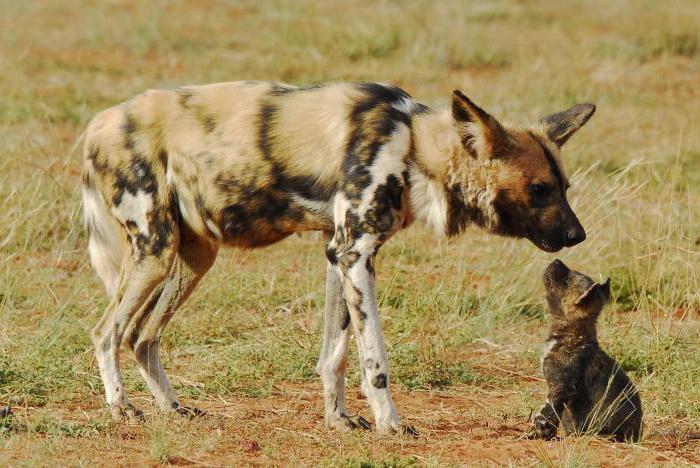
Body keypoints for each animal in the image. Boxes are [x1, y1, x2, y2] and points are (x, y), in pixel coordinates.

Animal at [82, 80, 596, 436]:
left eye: (564, 186)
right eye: (538, 189)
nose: (578, 235)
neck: (413, 148)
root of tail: (97, 124)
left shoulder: (338, 254)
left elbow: (335, 356)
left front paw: (339, 419)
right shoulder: (355, 253)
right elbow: (375, 363)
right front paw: (391, 425)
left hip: (194, 255)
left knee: (142, 337)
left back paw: (171, 408)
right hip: (155, 251)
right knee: (106, 332)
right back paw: (121, 407)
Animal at [532, 260, 640, 442]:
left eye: (566, 281)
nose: (556, 260)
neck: (572, 335)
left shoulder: (559, 389)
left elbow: (544, 416)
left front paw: (535, 435)